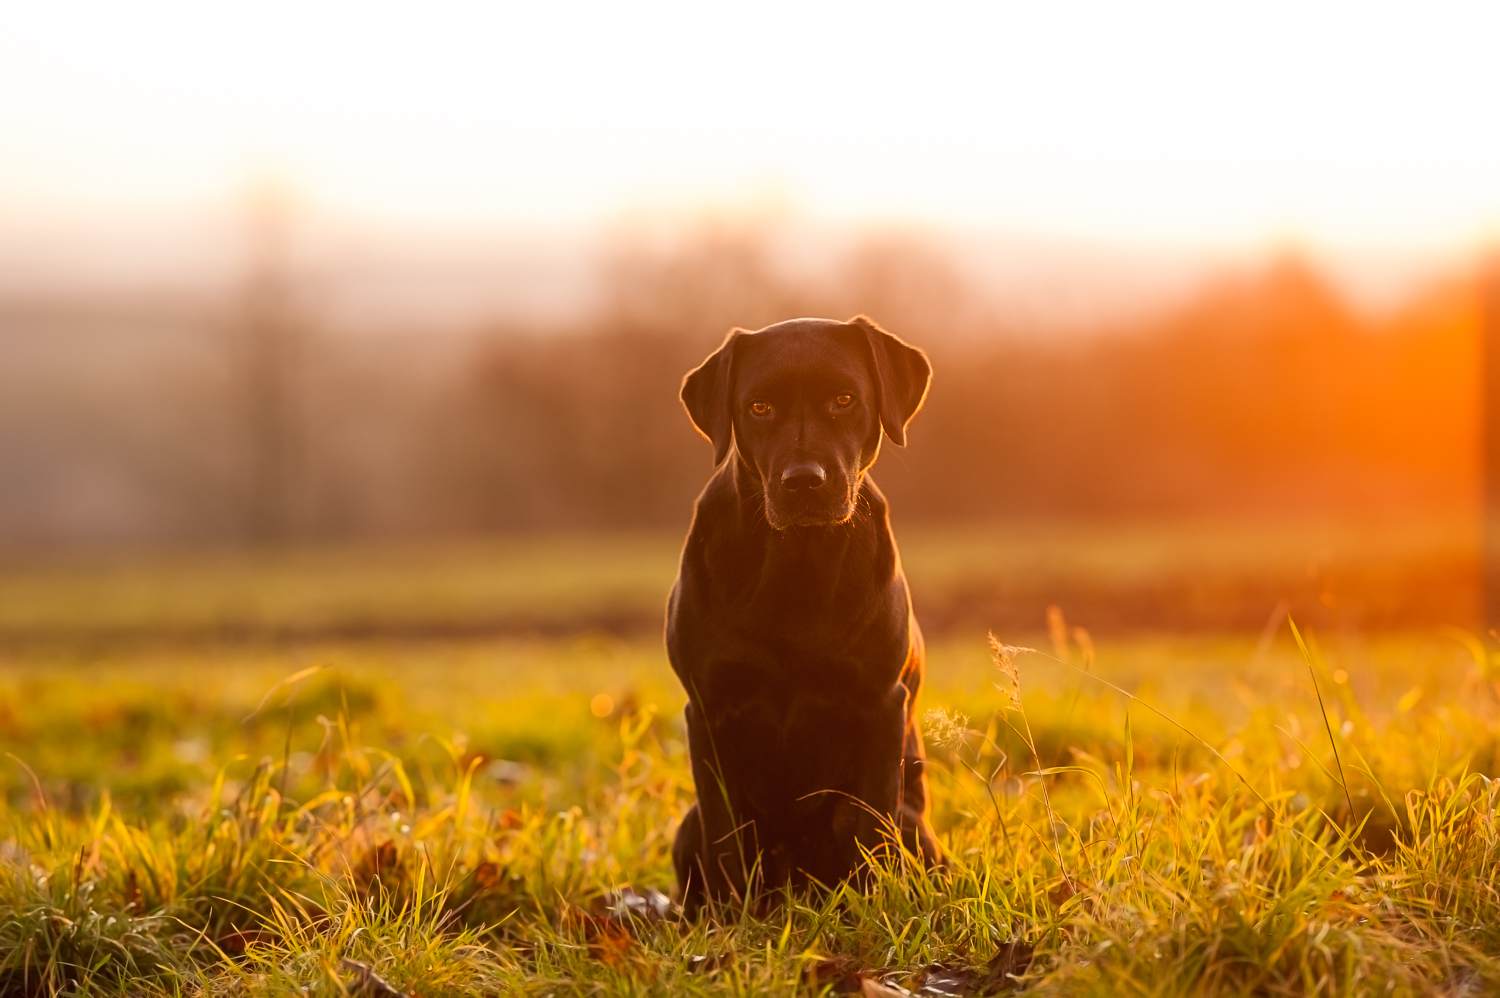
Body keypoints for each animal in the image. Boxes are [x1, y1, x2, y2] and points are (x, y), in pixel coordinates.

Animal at [669, 315, 936, 912]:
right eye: (759, 407)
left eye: (844, 399)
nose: (804, 480)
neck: (795, 568)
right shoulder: (709, 710)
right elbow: (725, 837)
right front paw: (731, 920)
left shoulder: (879, 705)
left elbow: (870, 827)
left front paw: (873, 911)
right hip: (685, 826)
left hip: (917, 826)